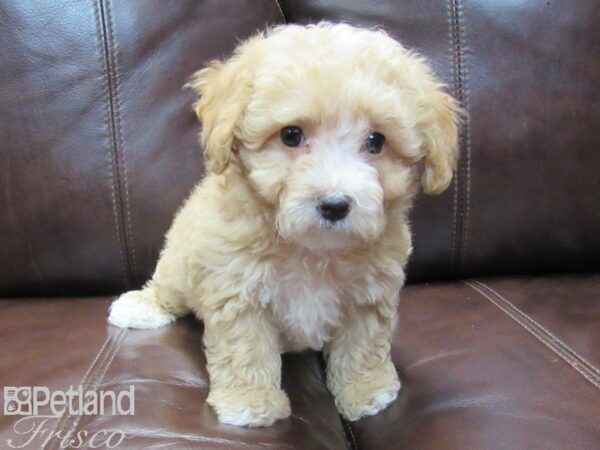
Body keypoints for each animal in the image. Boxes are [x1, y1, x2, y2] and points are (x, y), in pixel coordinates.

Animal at [108, 22, 460, 428]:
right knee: (168, 286)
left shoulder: (370, 294)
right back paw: (141, 306)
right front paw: (250, 402)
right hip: (180, 259)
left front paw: (366, 390)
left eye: (376, 141)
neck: (312, 248)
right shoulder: (236, 289)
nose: (335, 205)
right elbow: (245, 348)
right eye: (291, 135)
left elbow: (362, 344)